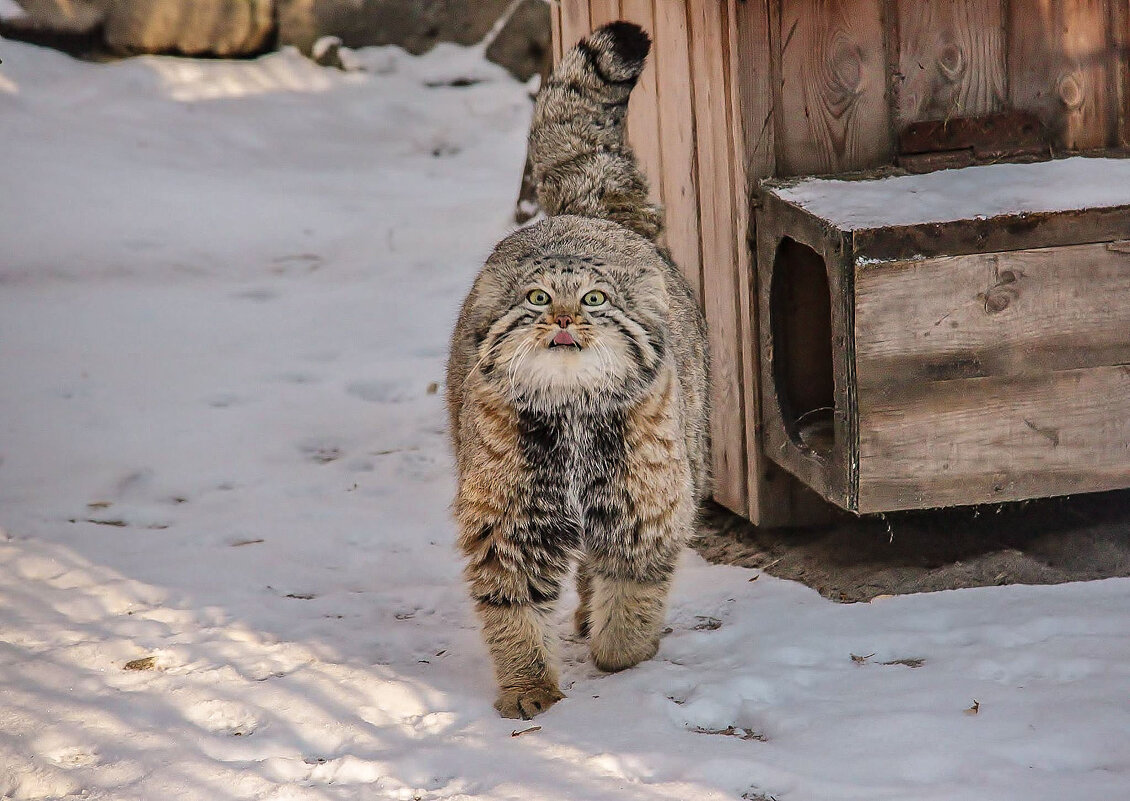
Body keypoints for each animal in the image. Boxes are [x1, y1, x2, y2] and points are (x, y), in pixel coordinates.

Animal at [445, 20, 709, 718]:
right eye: (537, 299)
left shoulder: (648, 504)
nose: (563, 317)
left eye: (594, 300)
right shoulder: (508, 518)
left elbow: (635, 593)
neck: (571, 414)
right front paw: (528, 687)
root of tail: (585, 211)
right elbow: (511, 608)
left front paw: (621, 651)